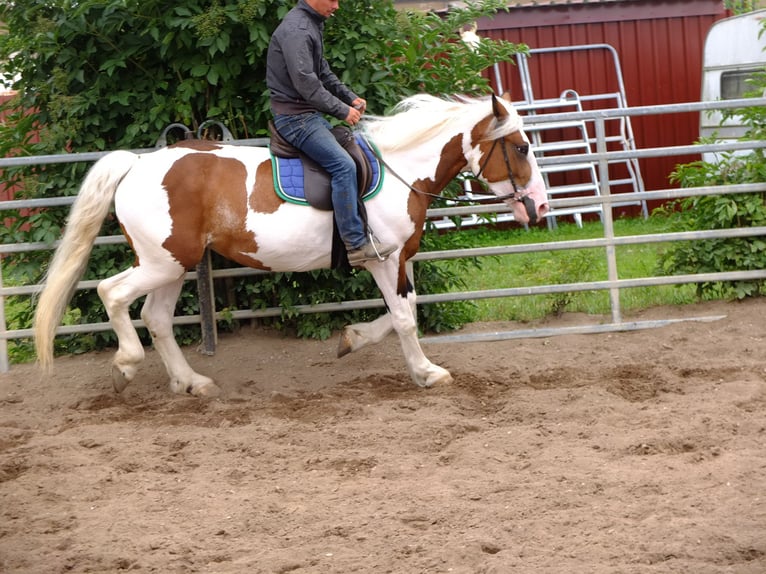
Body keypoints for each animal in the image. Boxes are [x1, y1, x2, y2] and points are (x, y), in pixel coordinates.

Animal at [33, 95, 548, 400]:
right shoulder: (382, 259)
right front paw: (426, 372)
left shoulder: (398, 260)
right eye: (521, 147)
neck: (398, 170)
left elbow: (405, 308)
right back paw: (125, 365)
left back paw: (191, 382)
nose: (540, 206)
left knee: (155, 318)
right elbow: (405, 318)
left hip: (173, 265)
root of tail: (138, 165)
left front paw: (351, 339)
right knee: (112, 293)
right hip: (163, 262)